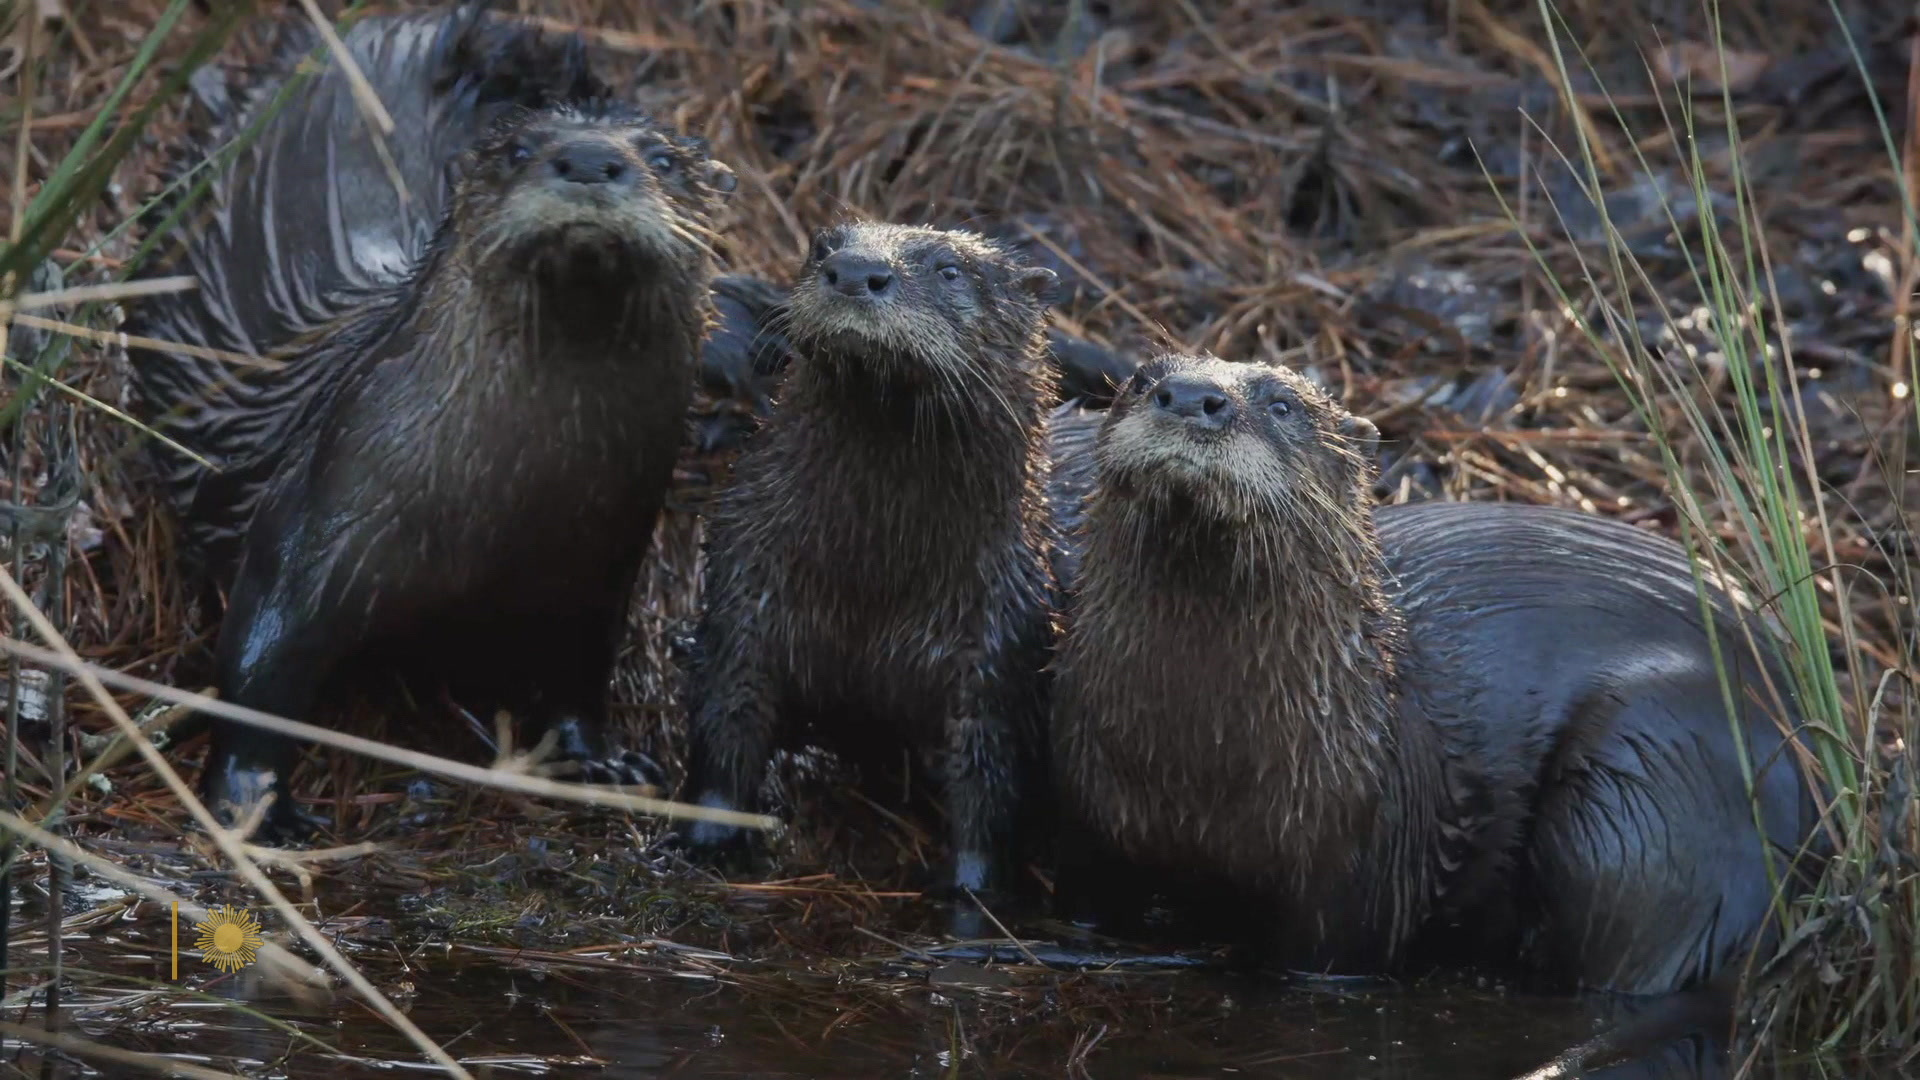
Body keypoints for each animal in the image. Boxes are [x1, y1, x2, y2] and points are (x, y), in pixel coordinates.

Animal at [130, 8, 736, 836]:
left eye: (665, 160)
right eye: (518, 152)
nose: (587, 159)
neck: (518, 493)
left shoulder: (606, 554)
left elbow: (579, 669)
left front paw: (602, 760)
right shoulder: (322, 511)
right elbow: (260, 662)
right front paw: (254, 805)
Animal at [679, 221, 1060, 904]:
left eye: (950, 270)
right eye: (823, 247)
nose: (856, 271)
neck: (871, 576)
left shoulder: (999, 640)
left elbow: (989, 784)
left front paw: (973, 893)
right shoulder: (745, 579)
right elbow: (725, 720)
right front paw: (708, 836)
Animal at [1049, 352, 1819, 995]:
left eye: (1283, 405)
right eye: (1142, 380)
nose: (1191, 398)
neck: (1200, 758)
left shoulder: (1360, 863)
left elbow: (1329, 958)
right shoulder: (1092, 826)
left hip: (1645, 788)